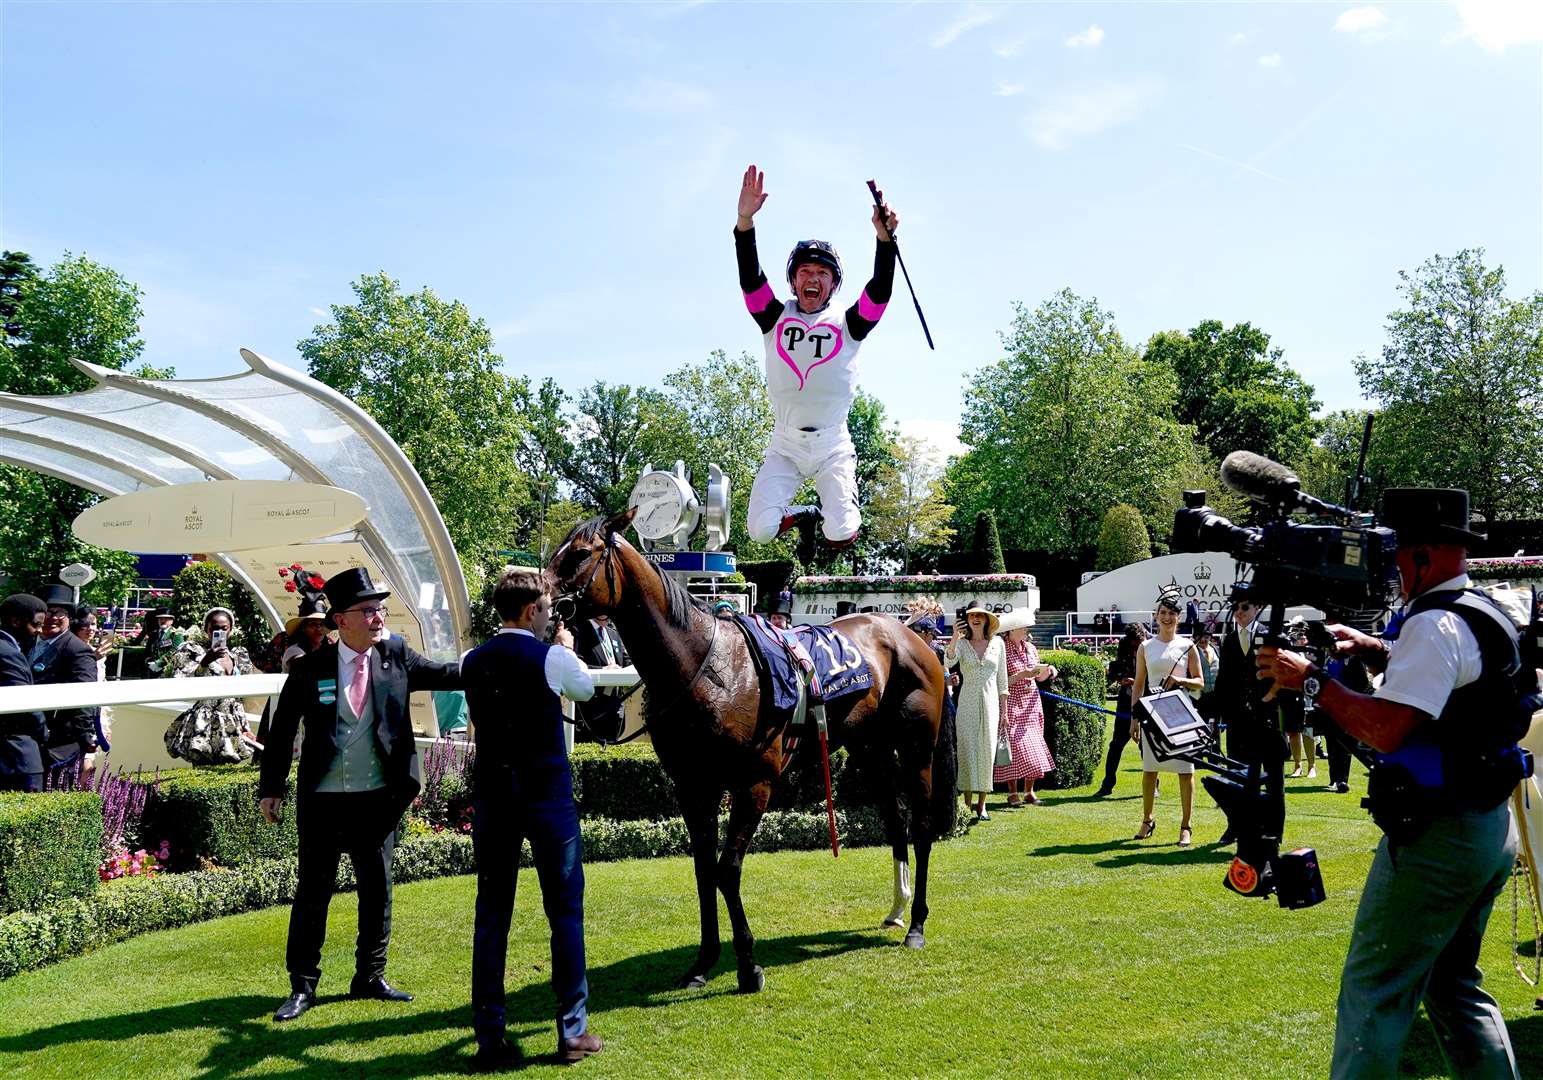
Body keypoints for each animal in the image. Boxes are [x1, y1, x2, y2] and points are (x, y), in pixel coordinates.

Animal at [543, 509, 950, 993]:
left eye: (581, 554)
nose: (539, 599)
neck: (704, 667)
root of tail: (910, 633)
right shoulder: (692, 786)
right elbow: (704, 872)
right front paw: (703, 962)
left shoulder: (753, 784)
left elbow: (727, 869)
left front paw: (747, 965)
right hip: (870, 748)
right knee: (896, 819)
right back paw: (896, 909)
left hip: (917, 749)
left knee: (922, 824)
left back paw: (917, 924)